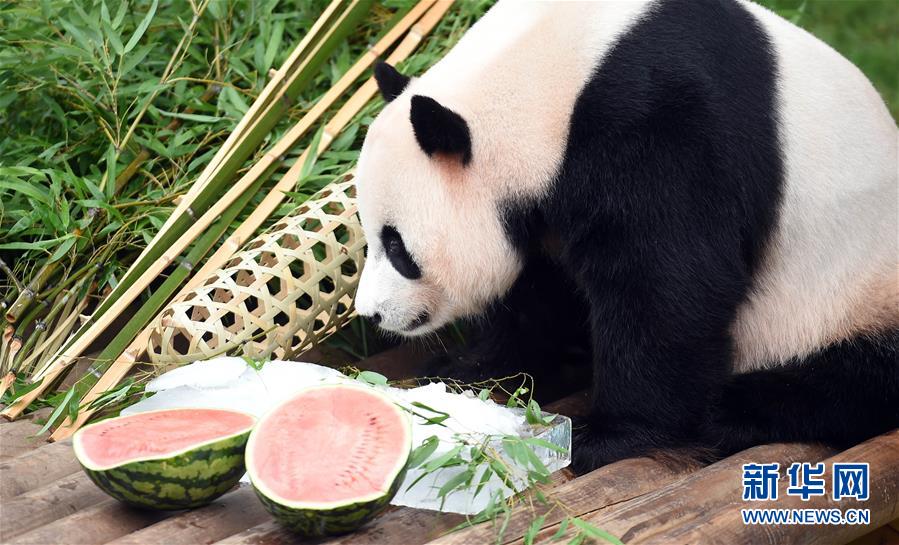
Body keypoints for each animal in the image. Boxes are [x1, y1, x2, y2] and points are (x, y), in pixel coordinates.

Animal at [356, 0, 896, 472]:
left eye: (397, 247)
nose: (373, 314)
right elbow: (541, 292)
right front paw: (466, 370)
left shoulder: (664, 121)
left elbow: (668, 286)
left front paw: (606, 436)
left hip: (848, 291)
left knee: (856, 374)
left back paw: (739, 408)